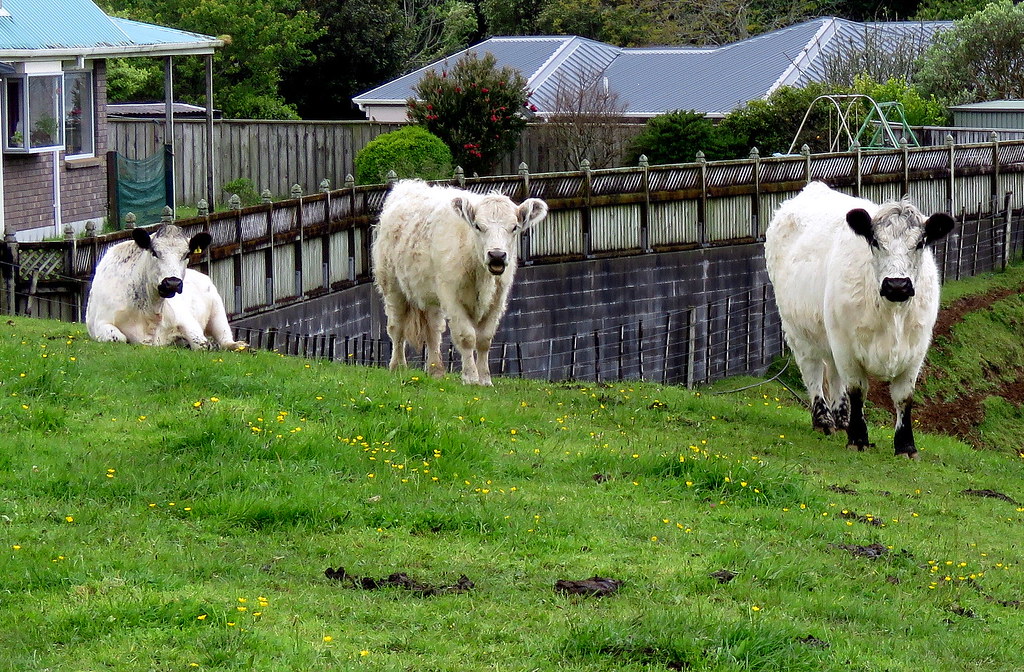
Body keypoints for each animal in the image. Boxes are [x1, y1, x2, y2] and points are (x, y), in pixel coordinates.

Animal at [85, 225, 245, 351]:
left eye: (186, 254)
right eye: (154, 252)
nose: (172, 283)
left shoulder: (185, 318)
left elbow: (202, 344)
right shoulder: (101, 323)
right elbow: (119, 338)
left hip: (218, 311)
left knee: (224, 339)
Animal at [372, 179, 548, 385]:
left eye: (514, 227)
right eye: (478, 226)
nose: (497, 255)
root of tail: (406, 185)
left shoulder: (498, 299)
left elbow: (484, 339)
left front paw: (485, 379)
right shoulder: (451, 296)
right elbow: (467, 337)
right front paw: (471, 377)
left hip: (430, 295)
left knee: (433, 331)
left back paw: (436, 371)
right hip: (392, 286)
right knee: (396, 328)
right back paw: (397, 367)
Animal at [764, 181, 954, 459]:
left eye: (920, 243)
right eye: (875, 241)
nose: (897, 285)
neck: (891, 313)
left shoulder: (916, 349)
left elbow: (904, 397)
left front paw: (906, 446)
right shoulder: (846, 346)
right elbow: (857, 389)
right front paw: (858, 438)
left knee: (833, 373)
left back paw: (841, 418)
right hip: (798, 331)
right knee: (813, 371)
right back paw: (823, 421)